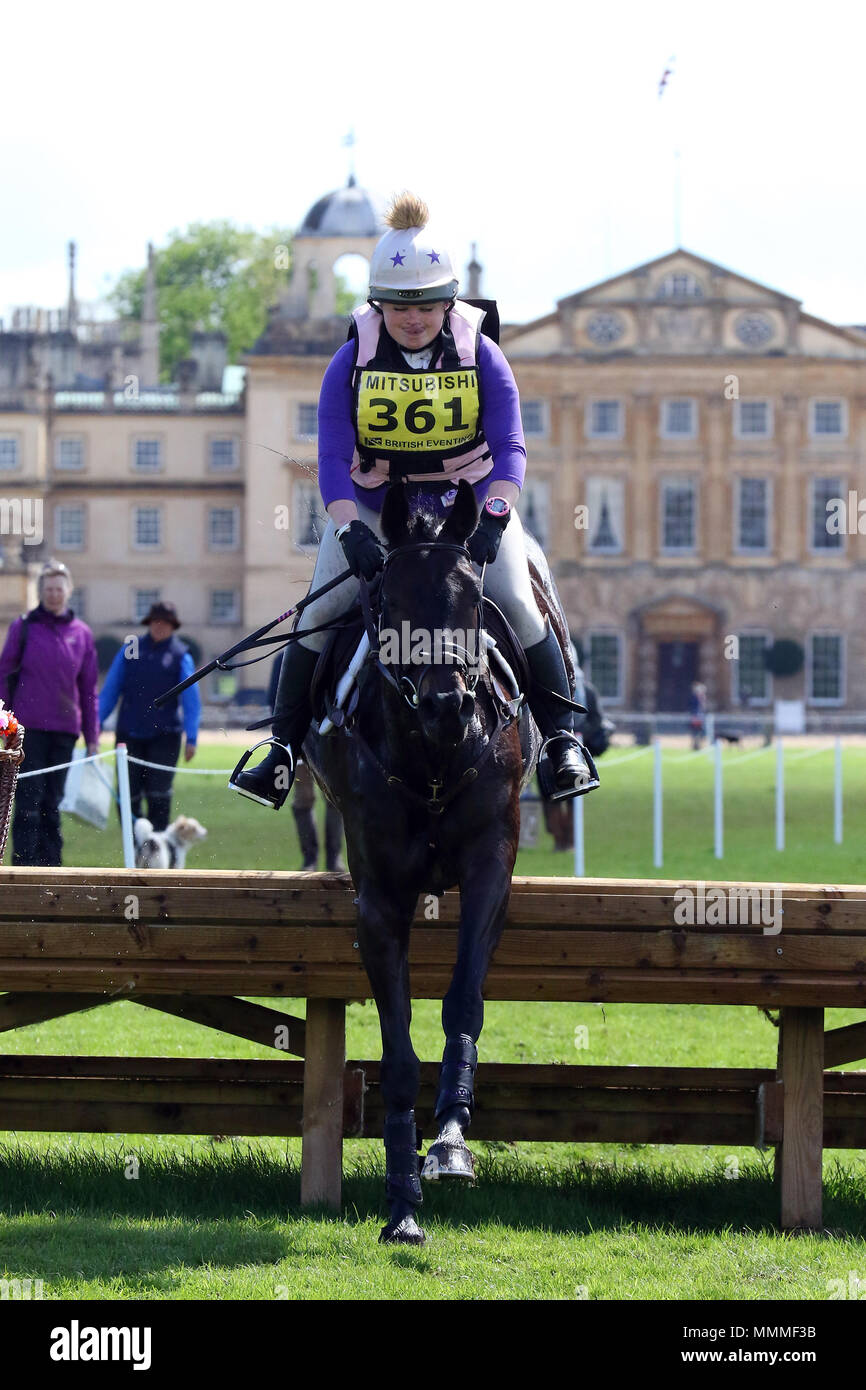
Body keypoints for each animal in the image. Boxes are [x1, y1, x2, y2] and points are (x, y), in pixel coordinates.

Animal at [303, 480, 569, 1251]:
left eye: (473, 600)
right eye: (389, 600)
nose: (449, 704)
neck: (432, 755)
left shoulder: (490, 870)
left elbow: (463, 1001)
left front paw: (450, 1142)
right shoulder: (378, 901)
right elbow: (396, 1054)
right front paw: (402, 1202)